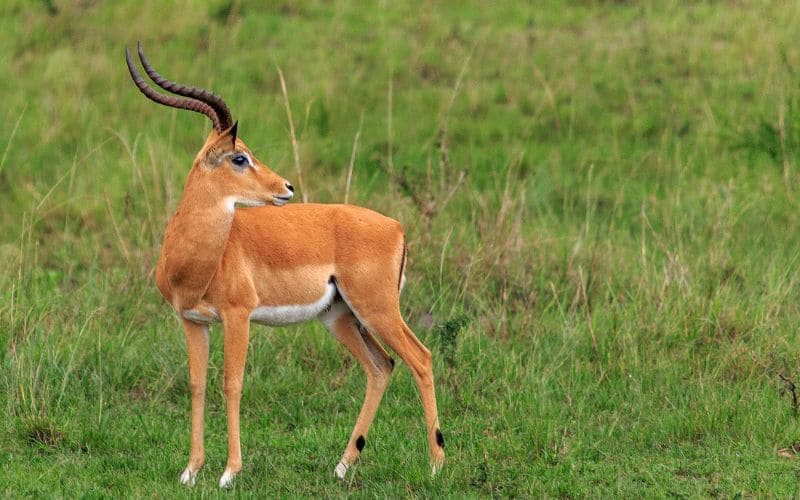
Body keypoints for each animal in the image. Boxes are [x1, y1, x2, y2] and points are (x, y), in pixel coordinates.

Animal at [125, 43, 445, 487]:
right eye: (240, 157)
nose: (286, 187)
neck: (199, 259)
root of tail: (396, 227)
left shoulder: (238, 316)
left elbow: (232, 383)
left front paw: (229, 473)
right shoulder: (192, 320)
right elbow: (197, 384)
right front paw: (190, 471)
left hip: (377, 310)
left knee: (421, 358)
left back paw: (435, 464)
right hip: (339, 317)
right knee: (382, 366)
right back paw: (342, 466)